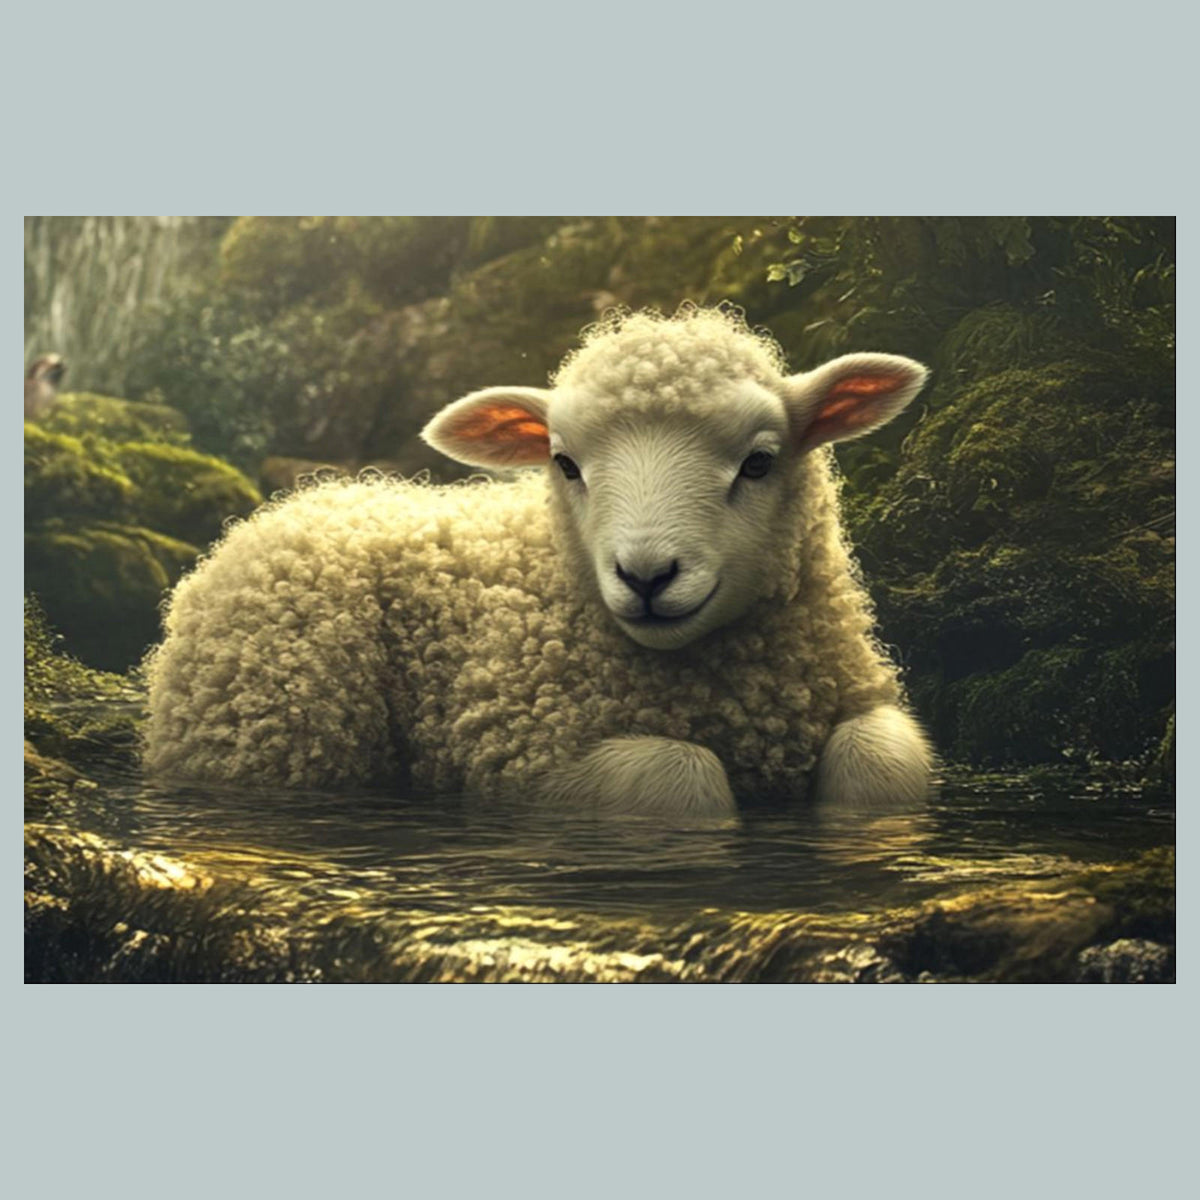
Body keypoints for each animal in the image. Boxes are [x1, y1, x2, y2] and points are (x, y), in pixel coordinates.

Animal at [143, 307, 933, 816]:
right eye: (565, 464)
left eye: (760, 462)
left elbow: (882, 770)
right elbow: (686, 780)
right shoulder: (521, 752)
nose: (647, 577)